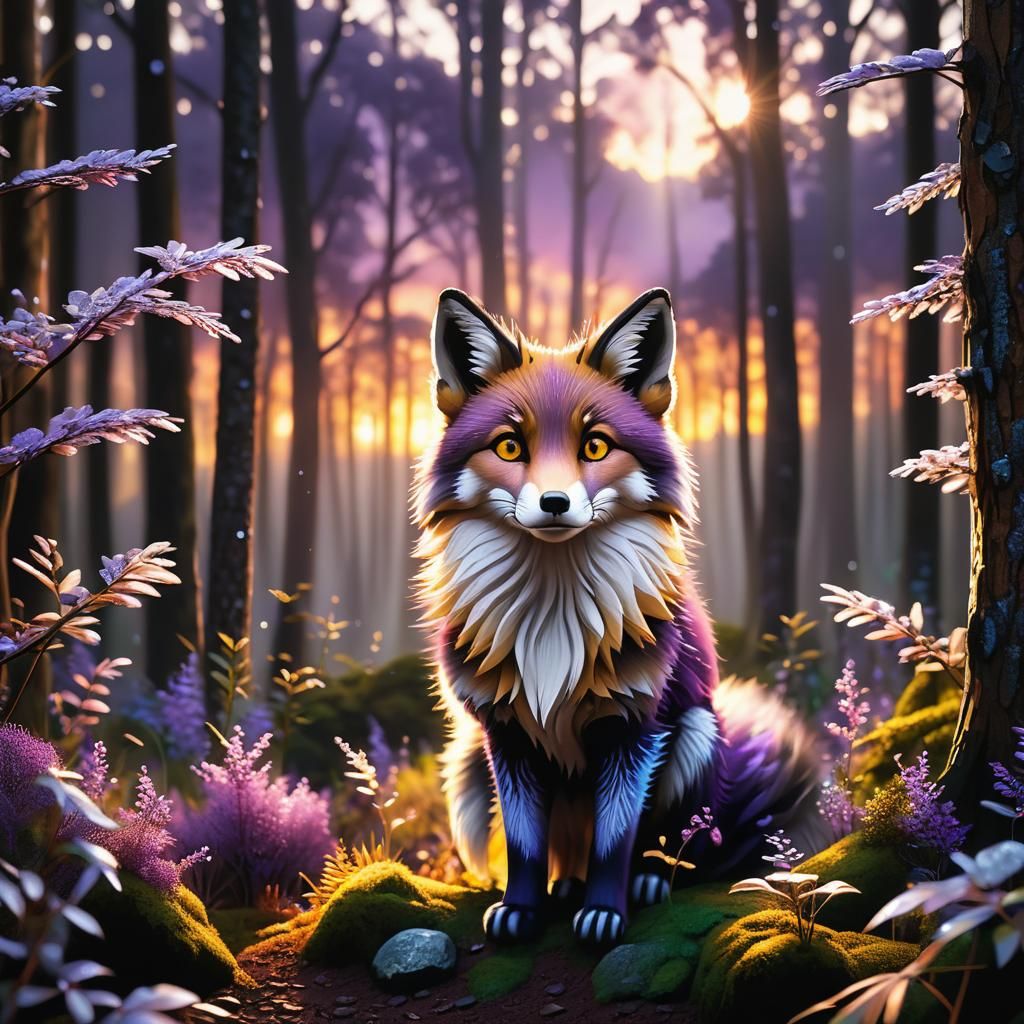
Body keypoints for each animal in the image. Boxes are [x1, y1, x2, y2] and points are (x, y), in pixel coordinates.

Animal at [414, 286, 822, 948]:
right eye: (509, 446)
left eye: (596, 445)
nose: (555, 502)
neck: (551, 622)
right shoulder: (505, 735)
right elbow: (524, 846)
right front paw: (521, 910)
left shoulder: (634, 729)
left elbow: (616, 841)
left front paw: (605, 915)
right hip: (471, 759)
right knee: (561, 852)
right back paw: (564, 888)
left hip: (695, 734)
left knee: (672, 843)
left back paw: (648, 883)